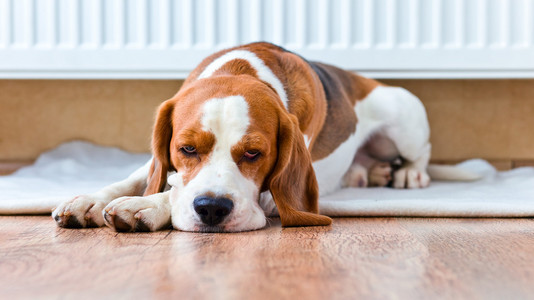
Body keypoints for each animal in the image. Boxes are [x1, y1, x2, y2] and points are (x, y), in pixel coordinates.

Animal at [51, 42, 478, 233]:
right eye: (186, 148)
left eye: (255, 153)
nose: (212, 210)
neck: (239, 71)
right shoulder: (161, 156)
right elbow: (140, 176)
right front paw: (91, 199)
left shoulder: (273, 193)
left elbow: (172, 191)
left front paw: (146, 205)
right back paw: (368, 174)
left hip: (404, 116)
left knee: (421, 153)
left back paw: (407, 173)